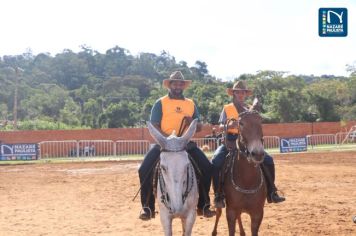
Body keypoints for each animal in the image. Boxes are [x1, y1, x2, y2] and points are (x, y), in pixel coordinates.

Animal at [211, 106, 268, 235]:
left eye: (260, 121)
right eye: (241, 123)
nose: (257, 153)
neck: (247, 181)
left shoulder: (257, 213)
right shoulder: (231, 211)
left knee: (239, 216)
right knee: (218, 213)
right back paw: (214, 232)